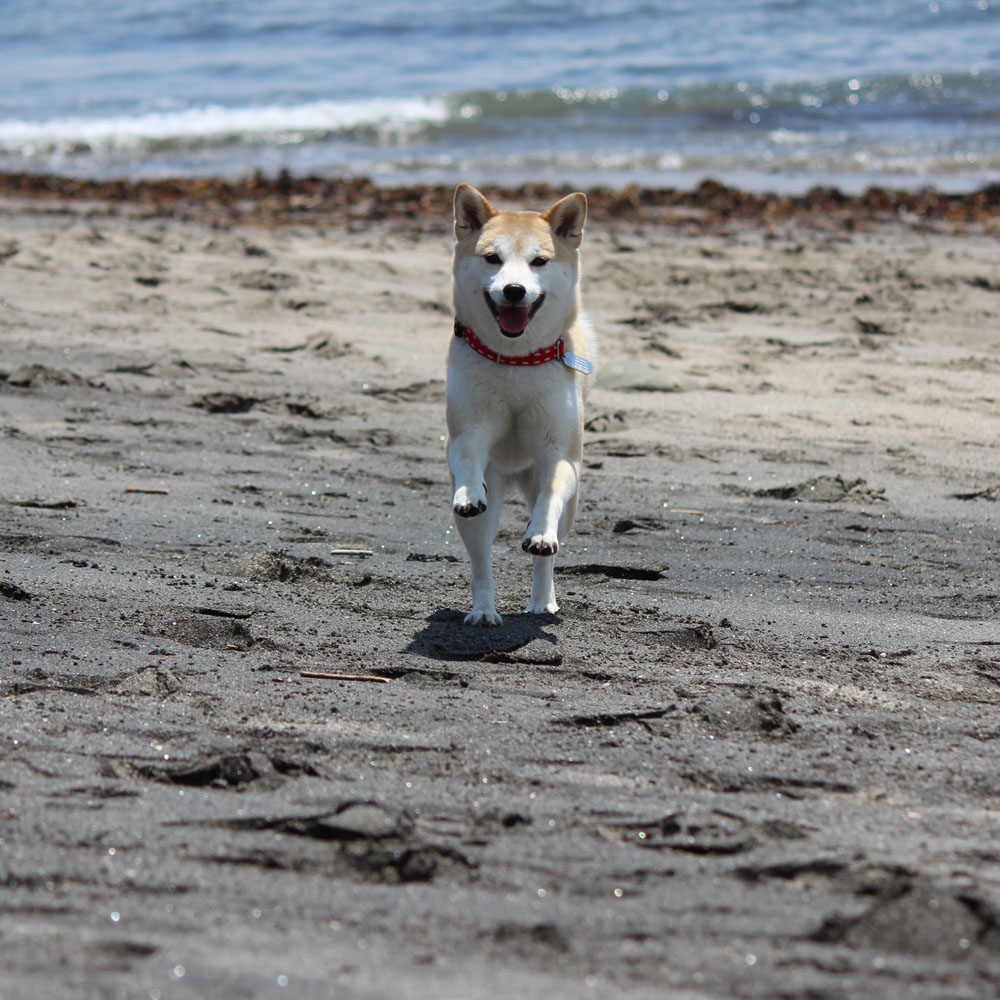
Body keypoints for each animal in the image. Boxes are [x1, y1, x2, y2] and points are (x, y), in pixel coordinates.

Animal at [446, 185, 592, 624]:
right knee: (481, 560)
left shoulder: (561, 454)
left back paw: (542, 600)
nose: (514, 290)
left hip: (566, 509)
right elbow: (466, 456)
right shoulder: (467, 431)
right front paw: (468, 492)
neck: (515, 360)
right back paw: (483, 610)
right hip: (486, 504)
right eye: (492, 258)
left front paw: (539, 533)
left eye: (539, 261)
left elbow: (550, 495)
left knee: (549, 553)